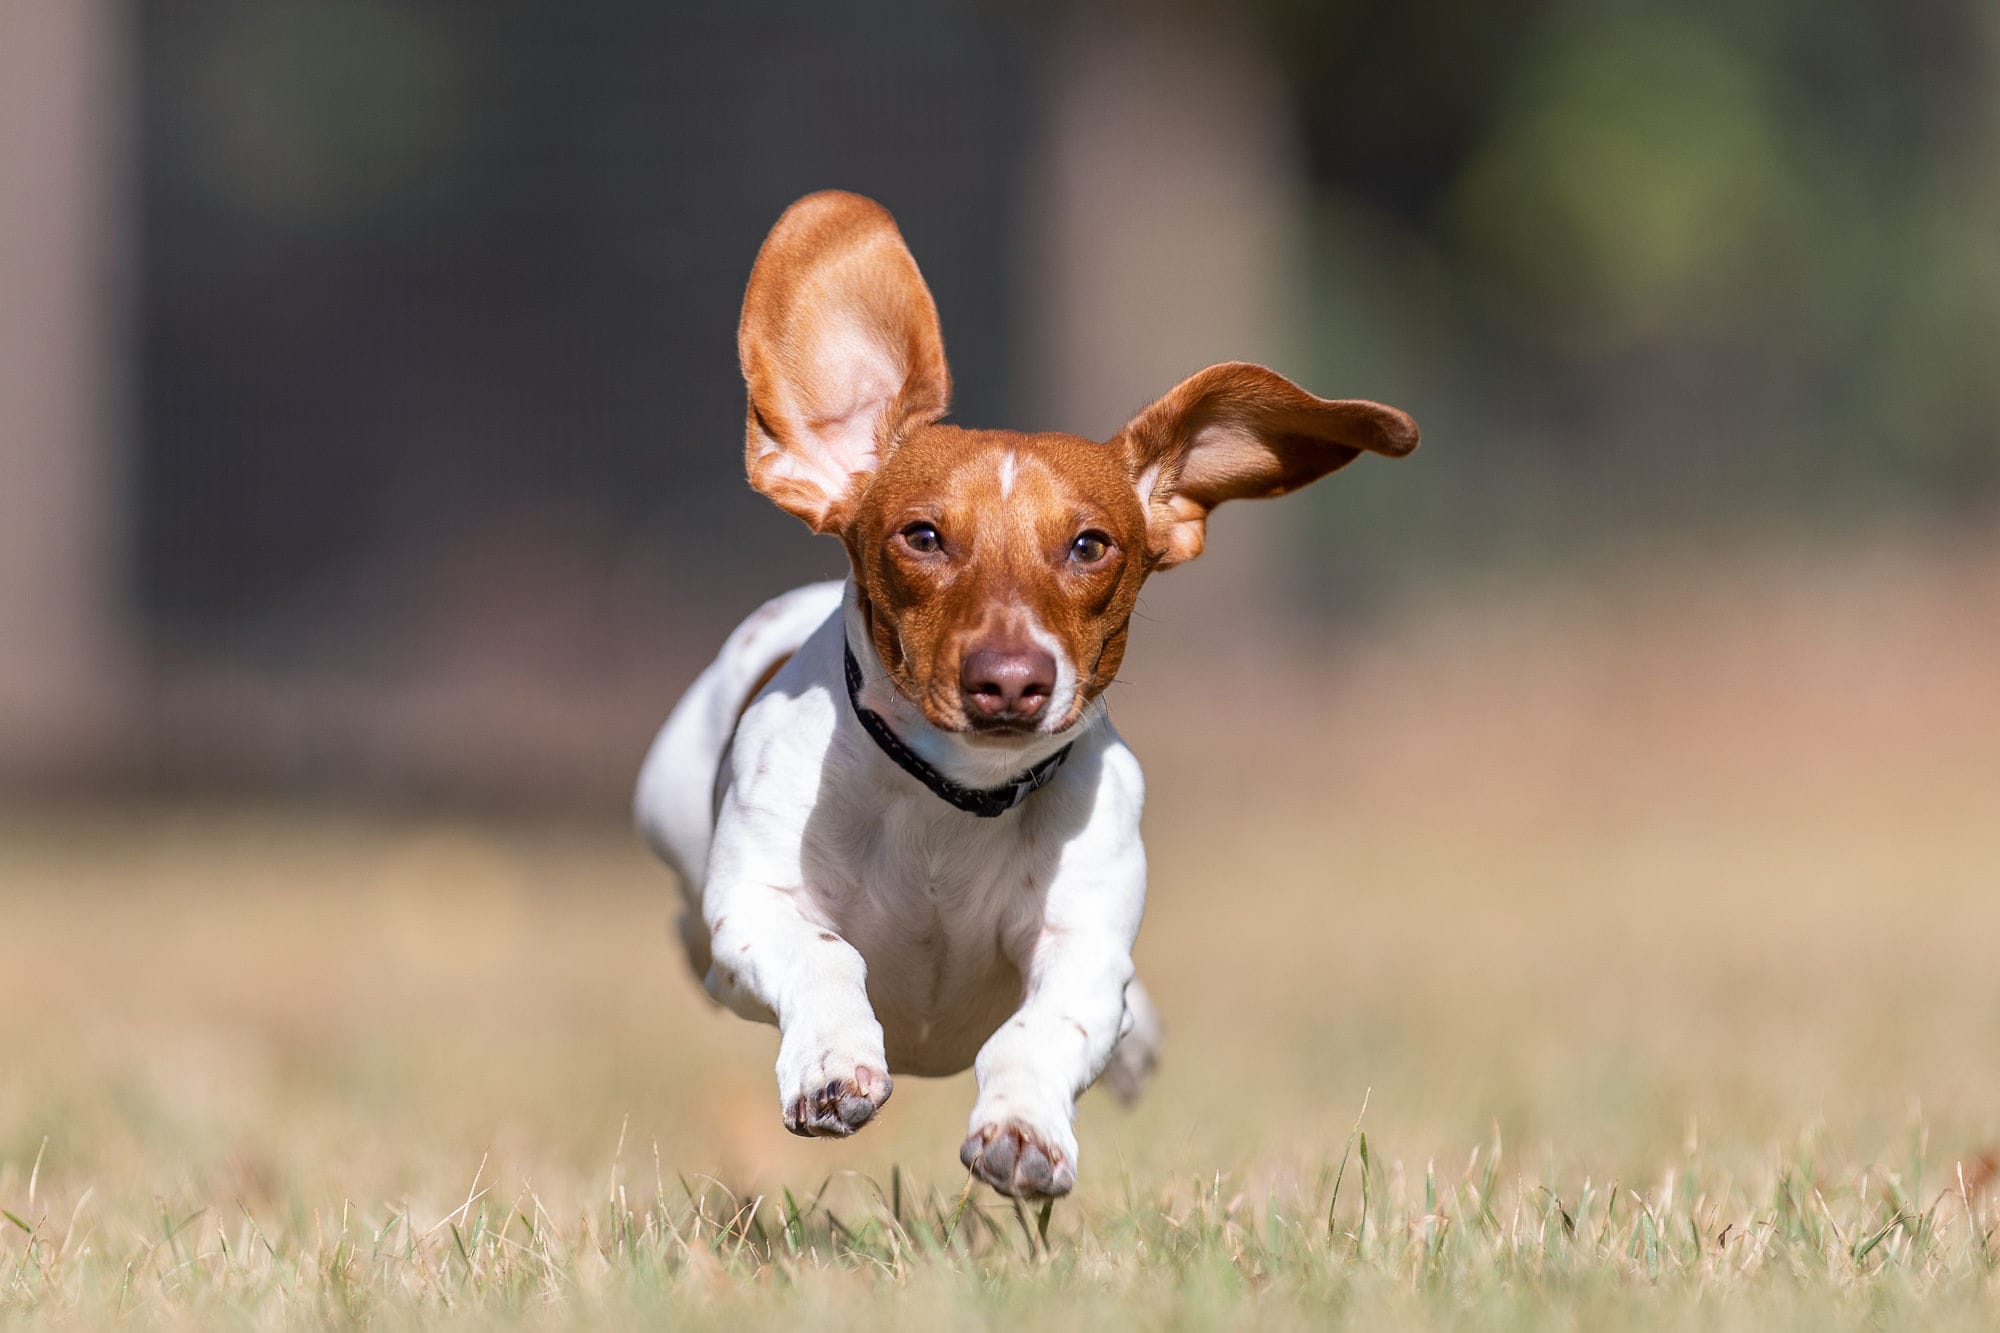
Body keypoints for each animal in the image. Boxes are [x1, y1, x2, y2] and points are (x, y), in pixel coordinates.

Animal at [632, 189, 1416, 1192]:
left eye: (1090, 544)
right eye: (923, 535)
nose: (1012, 681)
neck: (955, 800)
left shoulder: (1082, 943)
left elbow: (1044, 1027)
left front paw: (1023, 1126)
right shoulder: (759, 902)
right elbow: (824, 955)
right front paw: (833, 1062)